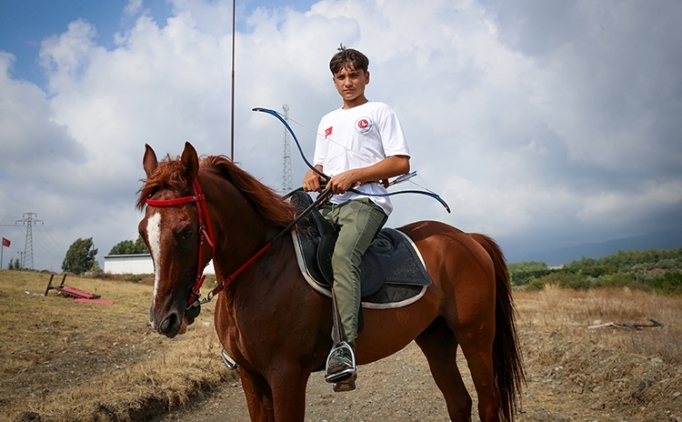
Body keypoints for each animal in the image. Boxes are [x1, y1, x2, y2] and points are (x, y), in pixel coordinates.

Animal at [135, 143, 524, 422]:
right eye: (143, 231)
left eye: (185, 231)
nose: (164, 319)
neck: (260, 270)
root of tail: (468, 239)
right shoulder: (251, 377)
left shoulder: (286, 375)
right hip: (436, 338)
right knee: (459, 402)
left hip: (475, 336)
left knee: (488, 404)